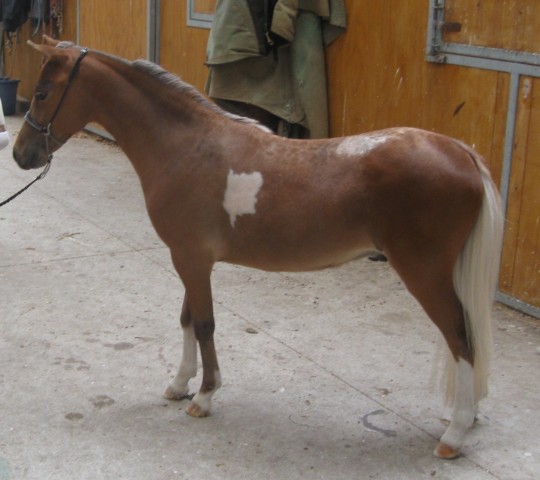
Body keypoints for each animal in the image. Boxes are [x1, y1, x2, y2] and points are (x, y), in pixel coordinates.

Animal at [13, 36, 504, 459]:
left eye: (42, 93)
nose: (21, 155)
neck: (186, 147)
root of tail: (460, 151)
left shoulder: (192, 259)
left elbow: (205, 324)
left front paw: (205, 396)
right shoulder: (188, 258)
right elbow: (186, 319)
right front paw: (179, 384)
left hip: (424, 273)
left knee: (461, 338)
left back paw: (454, 435)